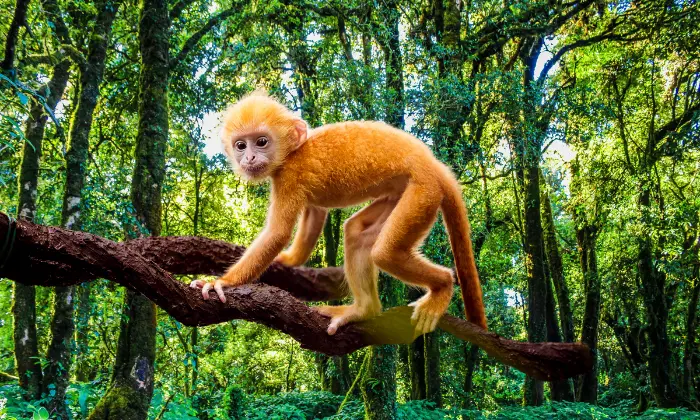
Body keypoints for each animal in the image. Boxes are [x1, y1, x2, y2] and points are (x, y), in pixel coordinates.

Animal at [190, 90, 487, 336]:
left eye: (261, 142)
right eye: (241, 145)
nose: (249, 158)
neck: (292, 152)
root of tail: (435, 165)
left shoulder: (289, 176)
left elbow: (277, 233)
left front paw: (222, 283)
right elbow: (315, 214)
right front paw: (287, 260)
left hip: (423, 191)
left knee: (385, 253)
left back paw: (443, 286)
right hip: (403, 193)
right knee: (356, 232)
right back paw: (364, 310)